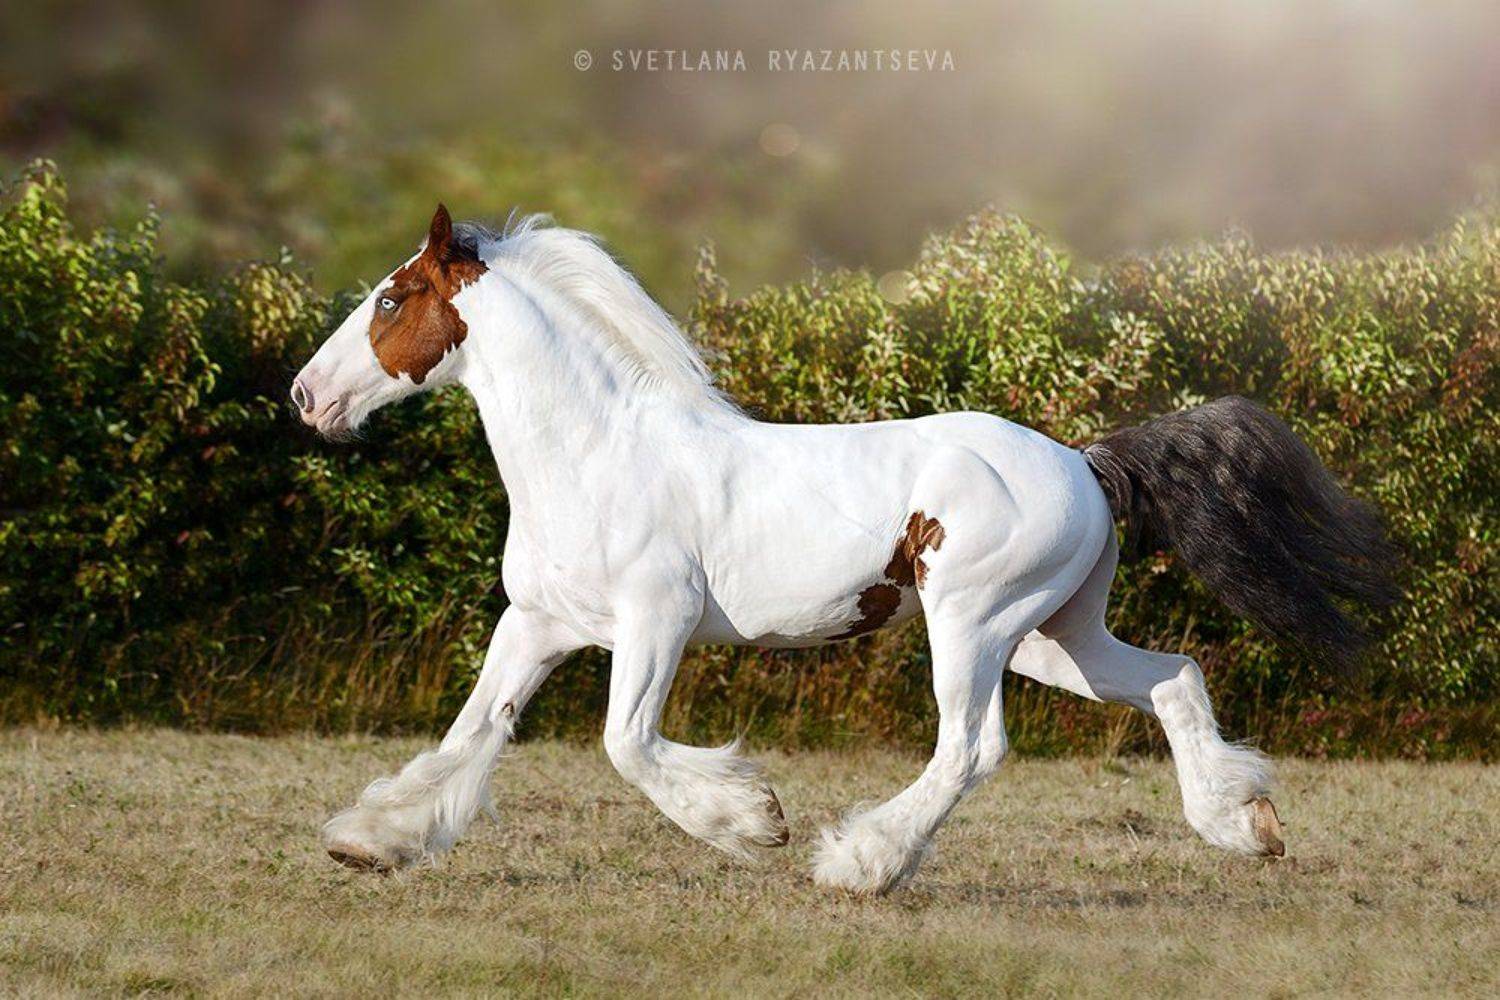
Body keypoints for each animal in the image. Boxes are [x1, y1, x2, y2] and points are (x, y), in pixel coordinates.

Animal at [290, 205, 1397, 894]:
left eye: (390, 298)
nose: (306, 396)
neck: (597, 454)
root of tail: (1084, 462)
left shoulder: (655, 624)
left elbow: (627, 744)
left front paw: (756, 820)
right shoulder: (539, 624)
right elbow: (471, 733)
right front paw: (365, 841)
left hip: (972, 623)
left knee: (971, 747)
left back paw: (860, 866)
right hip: (1053, 635)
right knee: (1173, 675)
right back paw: (1244, 825)